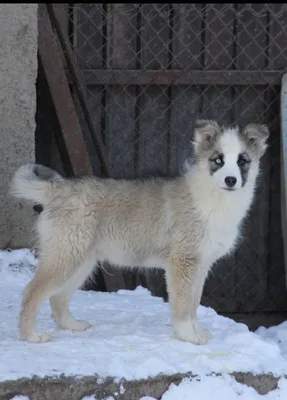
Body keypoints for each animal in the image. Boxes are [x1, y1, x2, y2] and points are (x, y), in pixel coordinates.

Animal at [9, 119, 270, 344]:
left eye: (243, 161)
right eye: (217, 160)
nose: (230, 180)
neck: (215, 198)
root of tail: (58, 190)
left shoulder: (201, 265)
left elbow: (193, 303)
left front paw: (195, 332)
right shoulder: (183, 262)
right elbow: (183, 304)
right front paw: (188, 336)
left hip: (80, 260)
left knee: (58, 296)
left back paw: (71, 325)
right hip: (67, 255)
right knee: (32, 292)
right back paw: (30, 336)